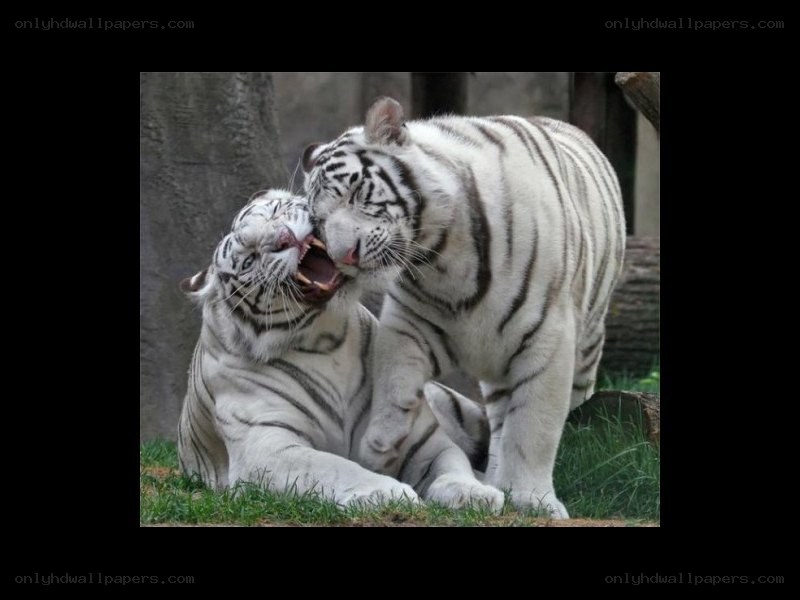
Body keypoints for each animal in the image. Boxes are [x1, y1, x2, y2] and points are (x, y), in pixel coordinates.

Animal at [177, 189, 504, 510]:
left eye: (276, 211)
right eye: (249, 260)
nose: (284, 238)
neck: (325, 339)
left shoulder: (420, 438)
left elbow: (450, 463)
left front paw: (473, 493)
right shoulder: (266, 446)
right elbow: (333, 466)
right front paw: (387, 493)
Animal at [302, 97, 626, 518]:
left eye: (356, 192)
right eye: (319, 221)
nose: (346, 256)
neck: (440, 254)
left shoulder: (548, 338)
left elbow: (534, 427)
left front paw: (532, 499)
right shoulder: (410, 321)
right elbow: (393, 380)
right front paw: (381, 445)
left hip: (584, 355)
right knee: (501, 419)